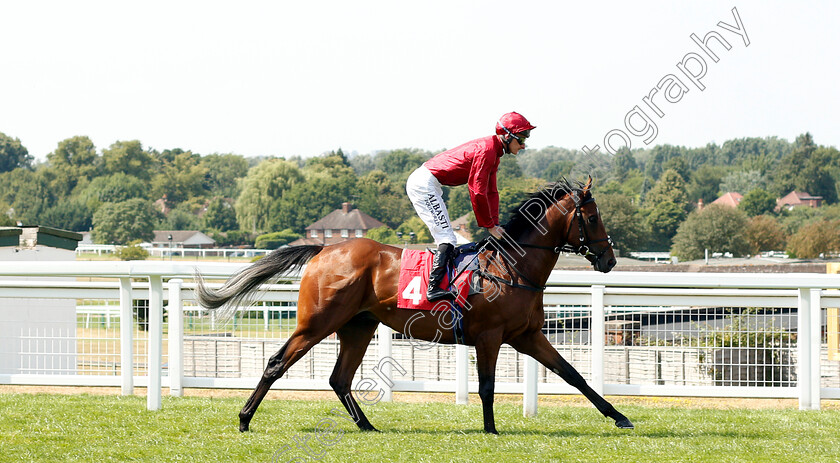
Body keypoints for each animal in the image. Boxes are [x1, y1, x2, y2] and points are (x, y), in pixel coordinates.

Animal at [194, 178, 632, 436]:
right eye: (593, 216)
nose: (609, 259)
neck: (511, 267)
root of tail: (323, 249)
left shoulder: (527, 336)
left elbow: (574, 375)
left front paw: (620, 416)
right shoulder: (490, 338)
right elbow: (487, 386)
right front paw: (490, 430)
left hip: (358, 326)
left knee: (339, 378)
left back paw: (367, 426)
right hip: (317, 322)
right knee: (277, 363)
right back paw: (244, 418)